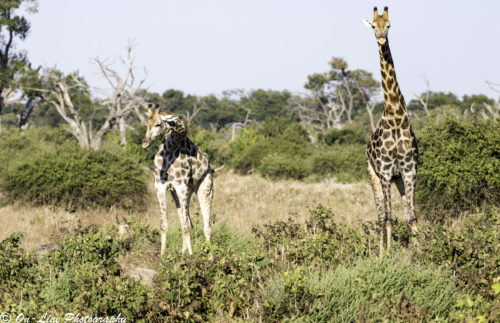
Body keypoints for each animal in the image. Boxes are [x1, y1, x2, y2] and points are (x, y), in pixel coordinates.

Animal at [141, 106, 213, 258]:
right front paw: (162, 256)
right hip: (180, 193)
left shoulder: (181, 186)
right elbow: (164, 224)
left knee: (207, 227)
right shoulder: (160, 186)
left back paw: (210, 258)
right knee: (187, 221)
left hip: (205, 189)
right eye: (146, 124)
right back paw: (183, 251)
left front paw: (190, 255)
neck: (172, 147)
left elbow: (186, 226)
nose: (145, 143)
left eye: (158, 124)